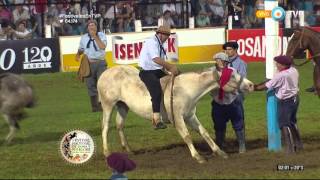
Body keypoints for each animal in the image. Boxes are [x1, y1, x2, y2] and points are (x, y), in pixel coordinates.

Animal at [96, 65, 254, 164]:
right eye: (232, 76)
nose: (251, 85)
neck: (186, 89)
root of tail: (105, 73)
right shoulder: (178, 118)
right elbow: (187, 136)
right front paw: (198, 156)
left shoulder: (190, 117)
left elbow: (204, 132)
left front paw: (220, 152)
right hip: (108, 105)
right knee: (105, 127)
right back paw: (107, 153)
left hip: (123, 106)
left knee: (120, 125)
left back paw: (128, 150)